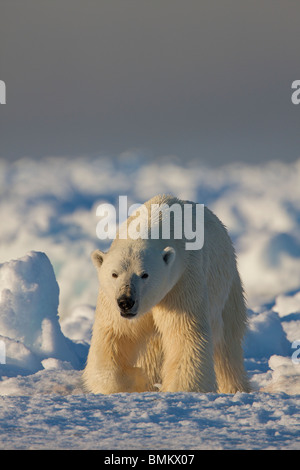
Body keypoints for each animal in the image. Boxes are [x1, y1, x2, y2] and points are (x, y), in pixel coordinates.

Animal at [82, 193, 251, 394]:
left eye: (144, 274)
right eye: (114, 274)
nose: (126, 302)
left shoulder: (182, 281)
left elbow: (185, 334)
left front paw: (182, 389)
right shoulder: (111, 301)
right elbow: (115, 334)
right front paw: (121, 384)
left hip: (227, 289)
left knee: (227, 346)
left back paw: (235, 388)